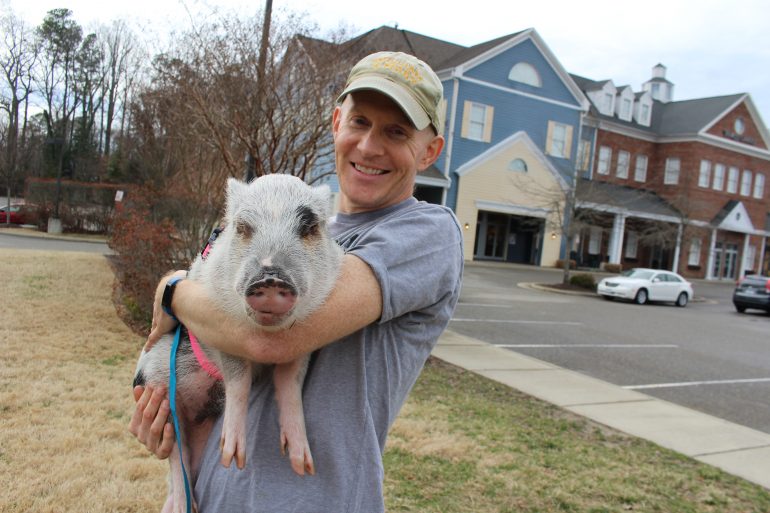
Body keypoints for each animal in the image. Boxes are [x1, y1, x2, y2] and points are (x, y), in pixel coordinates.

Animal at [133, 174, 343, 513]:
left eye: (309, 227)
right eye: (244, 227)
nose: (270, 279)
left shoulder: (306, 338)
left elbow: (290, 383)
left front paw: (302, 464)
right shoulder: (217, 322)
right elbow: (238, 380)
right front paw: (233, 458)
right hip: (161, 393)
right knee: (176, 459)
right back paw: (183, 504)